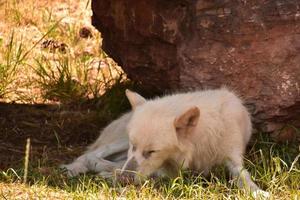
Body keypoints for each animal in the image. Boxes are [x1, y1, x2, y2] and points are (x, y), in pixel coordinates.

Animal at [62, 88, 268, 197]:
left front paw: (257, 192)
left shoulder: (233, 159)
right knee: (91, 155)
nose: (125, 179)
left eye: (152, 152)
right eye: (134, 146)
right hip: (118, 144)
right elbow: (156, 174)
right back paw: (77, 168)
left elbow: (244, 177)